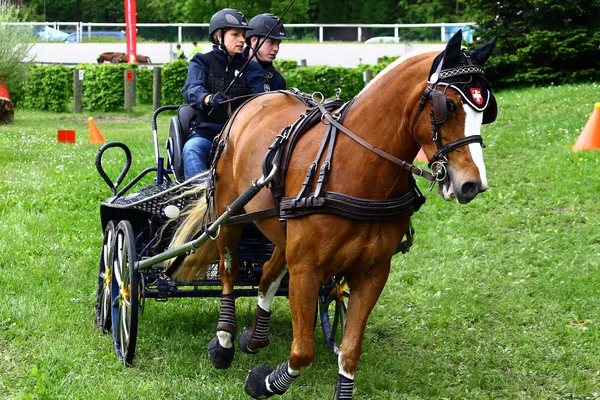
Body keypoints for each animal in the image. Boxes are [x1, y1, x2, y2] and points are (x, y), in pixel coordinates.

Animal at [168, 29, 496, 398]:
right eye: (448, 106)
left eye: (487, 109)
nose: (472, 184)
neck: (356, 170)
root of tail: (249, 103)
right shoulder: (307, 268)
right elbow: (302, 351)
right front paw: (263, 381)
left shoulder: (372, 272)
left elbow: (350, 352)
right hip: (227, 216)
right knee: (228, 269)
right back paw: (224, 340)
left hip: (280, 228)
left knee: (266, 275)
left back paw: (254, 338)